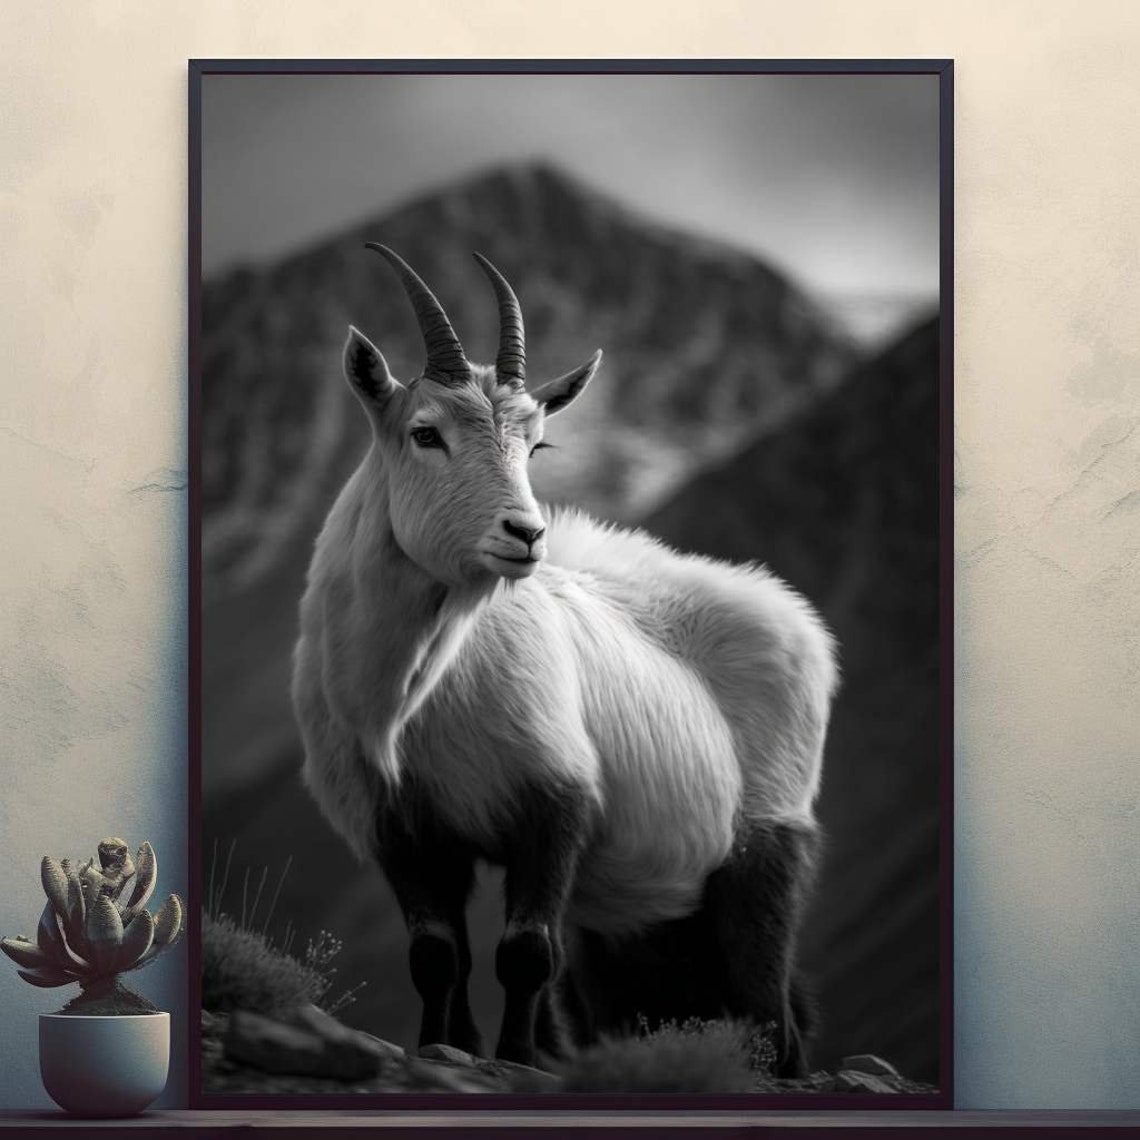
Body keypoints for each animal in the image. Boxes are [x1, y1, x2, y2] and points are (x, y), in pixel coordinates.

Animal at [291, 245, 839, 1075]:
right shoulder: (404, 831)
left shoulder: (553, 806)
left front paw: (517, 1057)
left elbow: (523, 953)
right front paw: (447, 1046)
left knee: (771, 1008)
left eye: (536, 443)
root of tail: (802, 629)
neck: (414, 695)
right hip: (632, 921)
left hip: (762, 855)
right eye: (425, 432)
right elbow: (436, 956)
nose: (525, 535)